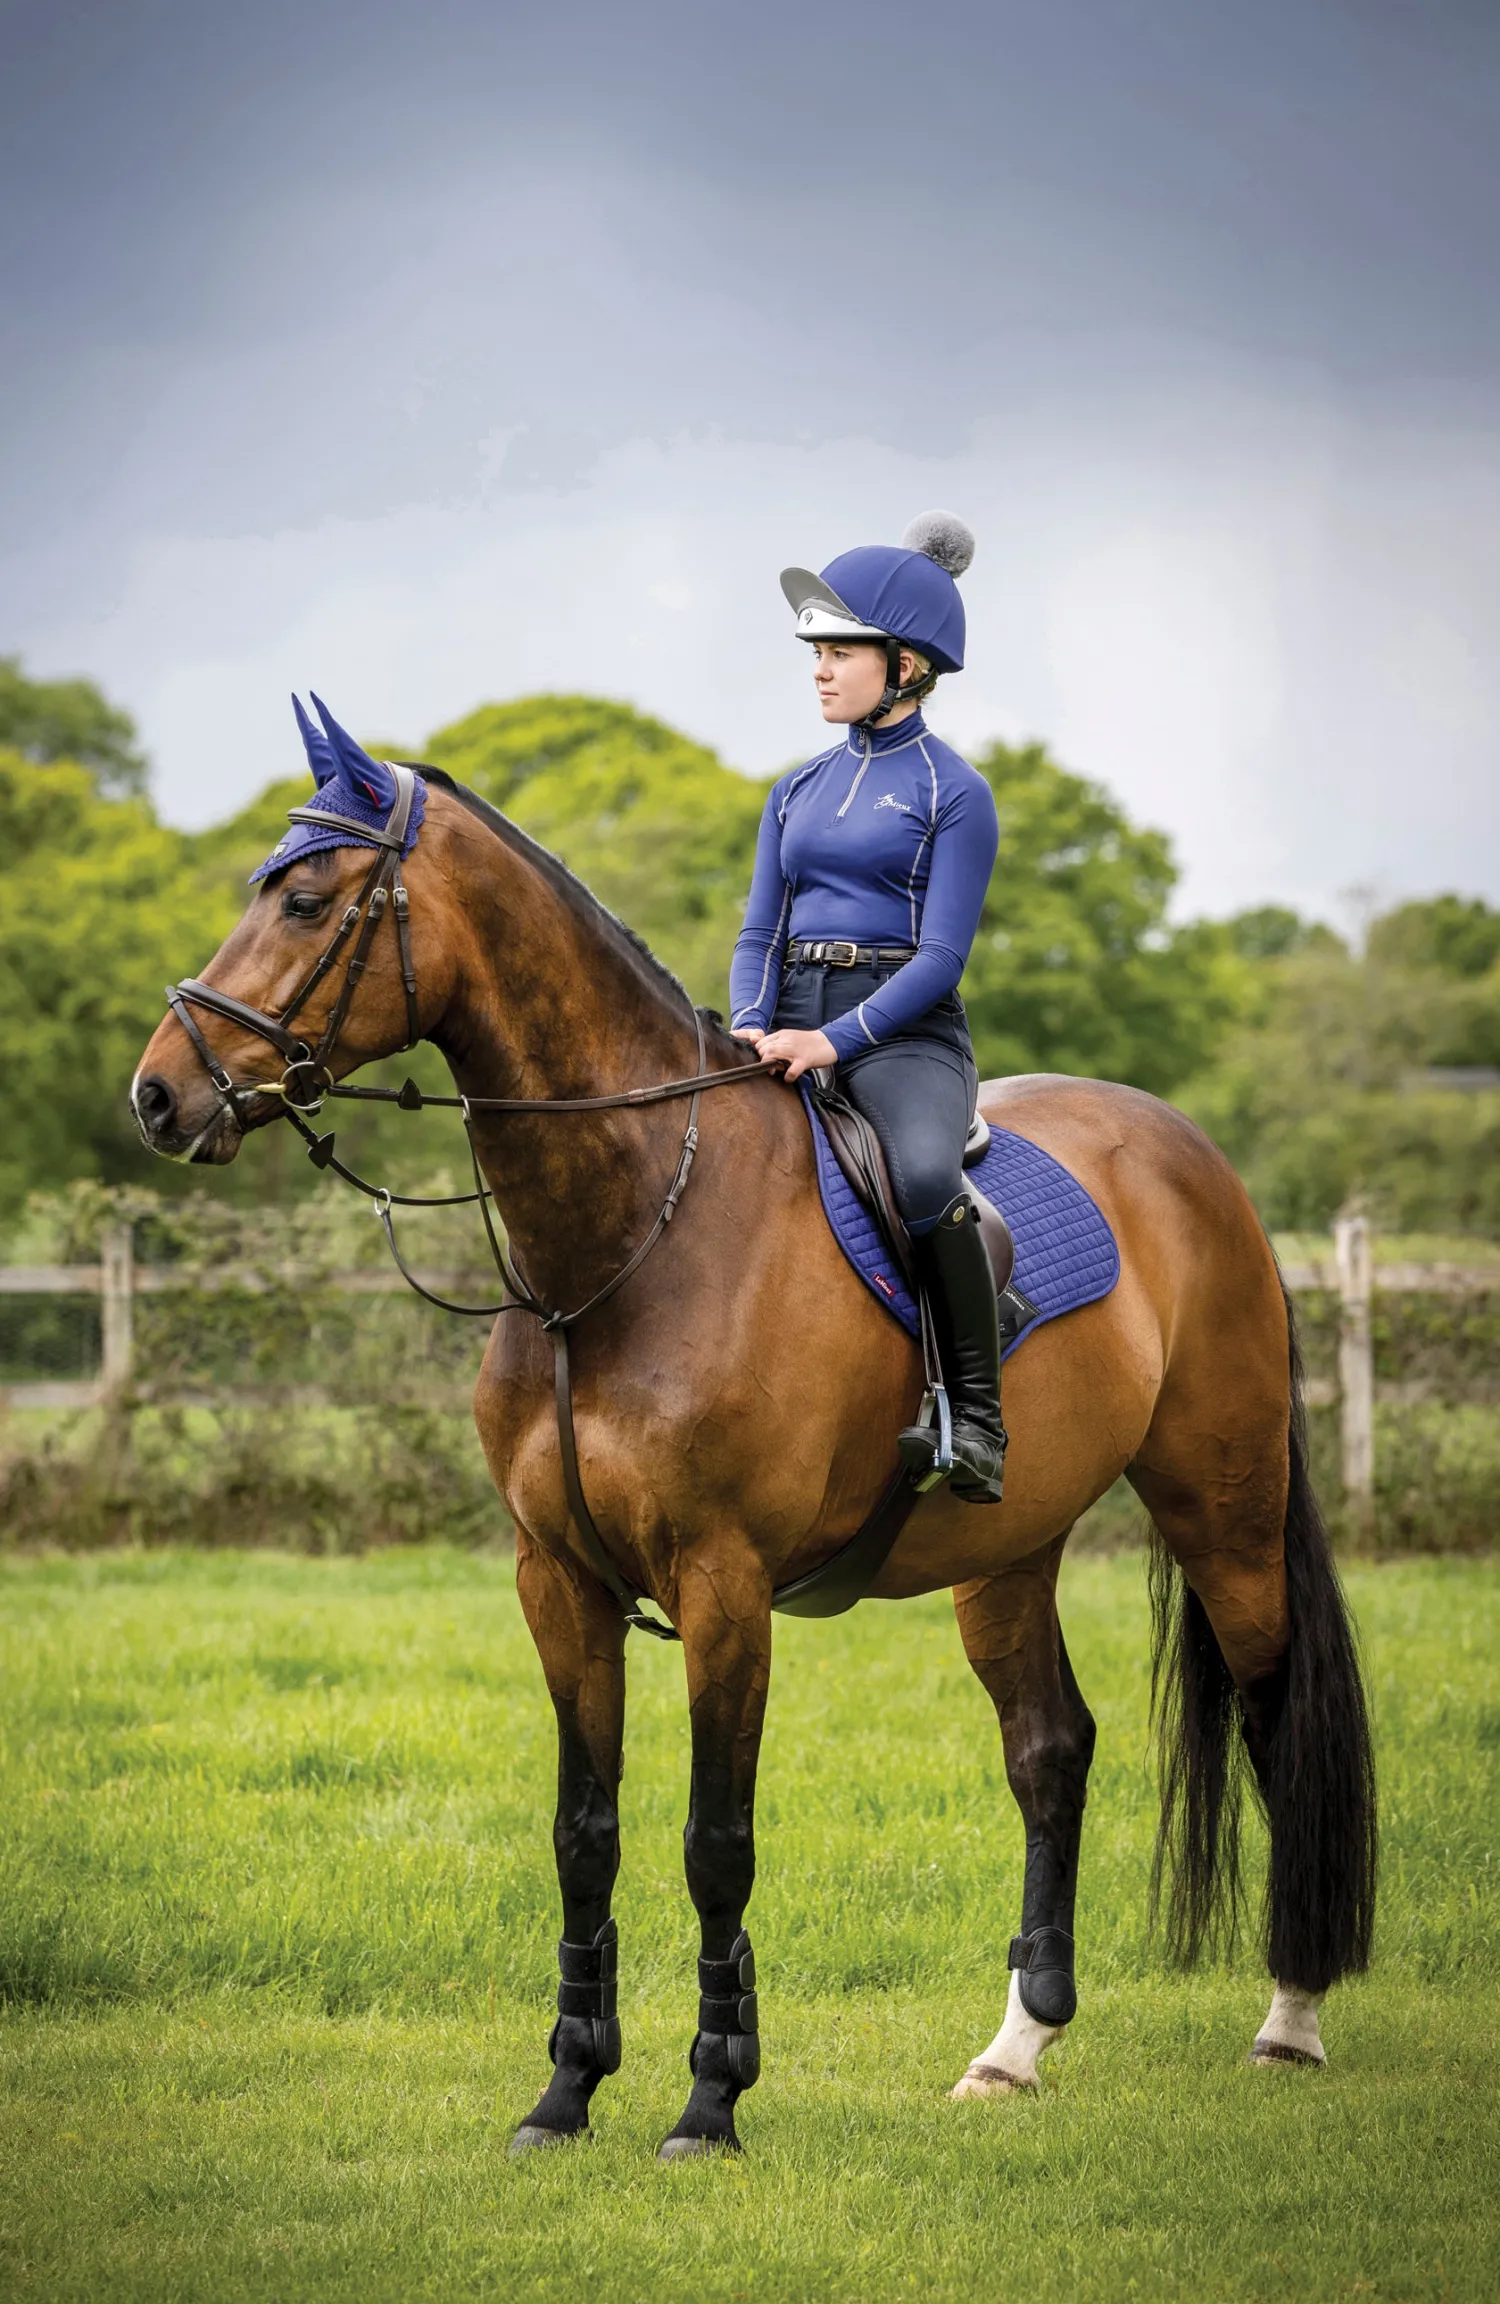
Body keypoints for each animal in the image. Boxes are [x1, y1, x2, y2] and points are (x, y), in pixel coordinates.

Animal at [131, 753, 1376, 2159]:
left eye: (304, 901)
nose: (160, 1094)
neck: (631, 1235)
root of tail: (1194, 1158)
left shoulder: (723, 1587)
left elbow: (714, 1842)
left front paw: (710, 2101)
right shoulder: (559, 1583)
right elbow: (585, 1834)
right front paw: (566, 2091)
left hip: (1223, 1511)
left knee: (1277, 1726)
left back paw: (1291, 2019)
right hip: (1009, 1553)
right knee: (1050, 1752)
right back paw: (1015, 2049)